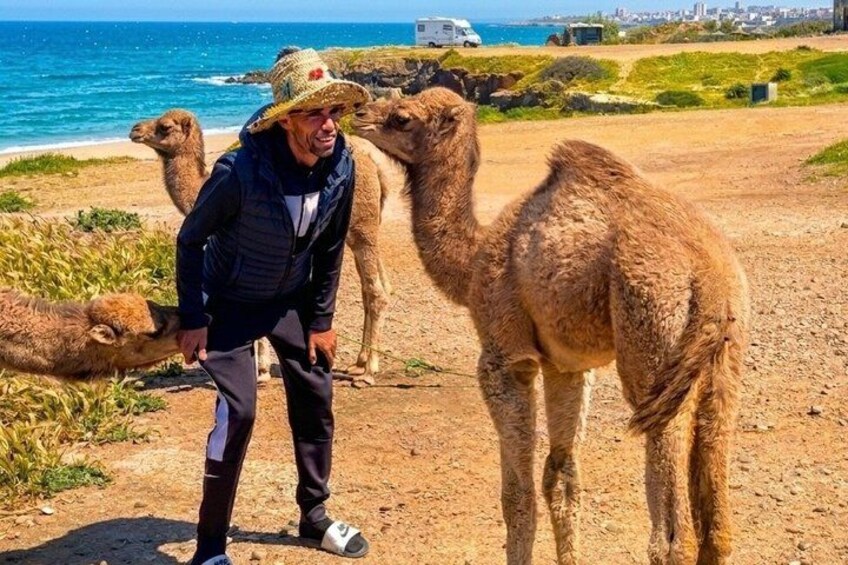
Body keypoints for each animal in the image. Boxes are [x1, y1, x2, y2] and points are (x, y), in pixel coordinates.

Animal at [130, 109, 403, 385]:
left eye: (165, 127)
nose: (135, 130)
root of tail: (375, 164)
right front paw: (260, 367)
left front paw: (260, 372)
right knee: (372, 288)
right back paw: (359, 363)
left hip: (361, 228)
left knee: (376, 291)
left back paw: (368, 372)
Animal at [353, 87, 749, 565]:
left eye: (401, 117)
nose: (357, 113)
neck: (474, 260)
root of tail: (710, 274)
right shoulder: (567, 365)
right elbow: (561, 479)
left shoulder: (505, 357)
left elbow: (516, 495)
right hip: (724, 355)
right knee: (718, 517)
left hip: (653, 331)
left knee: (673, 534)